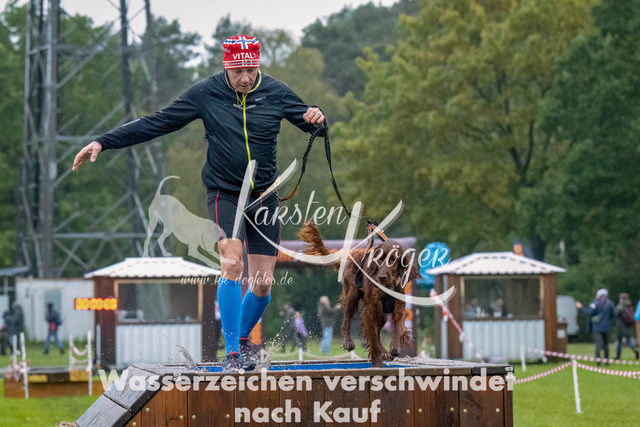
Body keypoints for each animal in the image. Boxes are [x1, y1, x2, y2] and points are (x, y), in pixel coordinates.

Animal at [298, 222, 420, 367]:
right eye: (379, 259)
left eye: (393, 259)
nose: (382, 277)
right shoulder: (370, 309)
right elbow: (372, 338)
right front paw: (378, 363)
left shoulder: (399, 307)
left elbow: (397, 327)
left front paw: (394, 348)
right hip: (353, 294)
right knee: (347, 321)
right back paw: (348, 342)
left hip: (382, 314)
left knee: (376, 332)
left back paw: (385, 352)